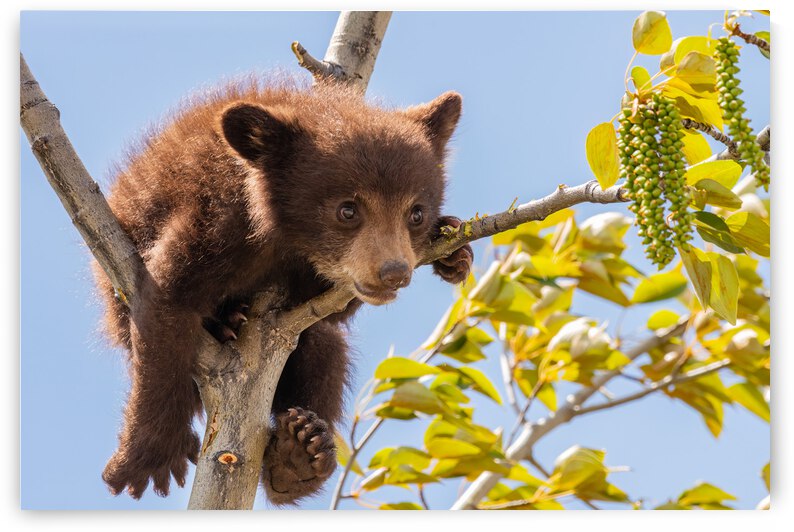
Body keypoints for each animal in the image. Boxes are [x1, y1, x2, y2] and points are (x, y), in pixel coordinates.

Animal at [94, 76, 474, 504]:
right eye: (347, 209)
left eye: (416, 213)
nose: (394, 272)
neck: (280, 237)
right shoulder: (212, 220)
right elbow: (166, 302)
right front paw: (147, 457)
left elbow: (332, 312)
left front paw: (453, 249)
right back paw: (226, 323)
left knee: (325, 347)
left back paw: (297, 457)